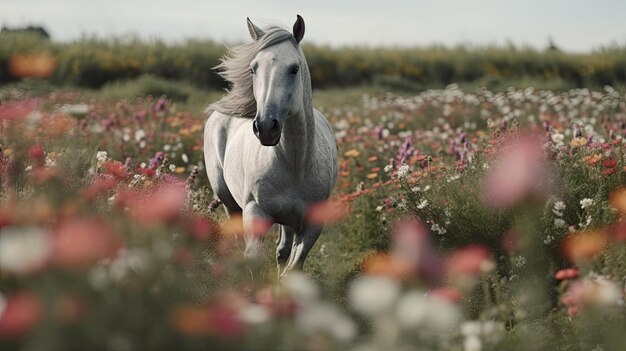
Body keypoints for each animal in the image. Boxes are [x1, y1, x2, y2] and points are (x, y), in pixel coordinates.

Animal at [202, 15, 336, 278]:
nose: (265, 127)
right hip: (229, 201)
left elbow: (293, 265)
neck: (295, 163)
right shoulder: (255, 212)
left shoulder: (312, 225)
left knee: (283, 249)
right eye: (253, 68)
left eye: (294, 68)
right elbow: (254, 258)